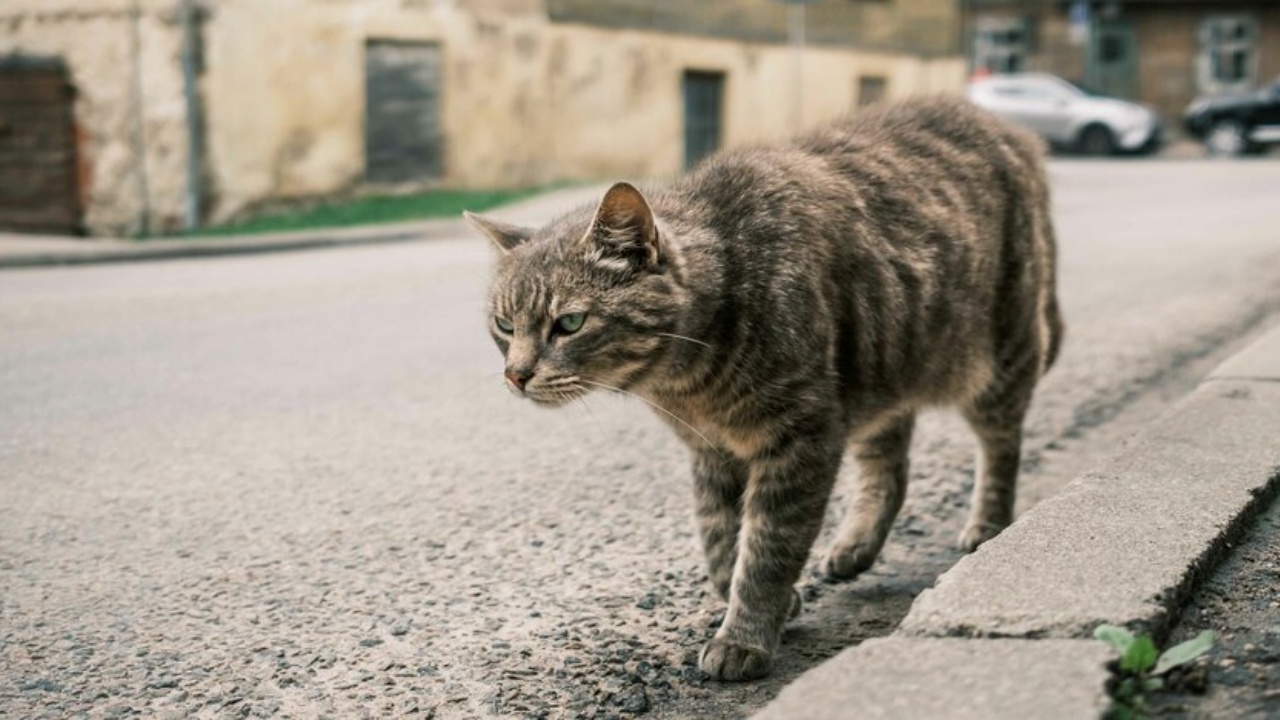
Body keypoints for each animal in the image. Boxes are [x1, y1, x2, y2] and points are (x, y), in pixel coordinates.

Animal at [465, 95, 1064, 676]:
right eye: (504, 326)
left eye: (569, 323)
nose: (516, 374)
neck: (688, 383)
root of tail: (1009, 130)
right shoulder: (711, 450)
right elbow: (719, 537)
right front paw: (750, 595)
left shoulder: (800, 439)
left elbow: (769, 547)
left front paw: (744, 635)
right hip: (879, 377)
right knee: (887, 470)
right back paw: (857, 543)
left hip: (1000, 357)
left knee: (1001, 447)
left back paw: (987, 524)